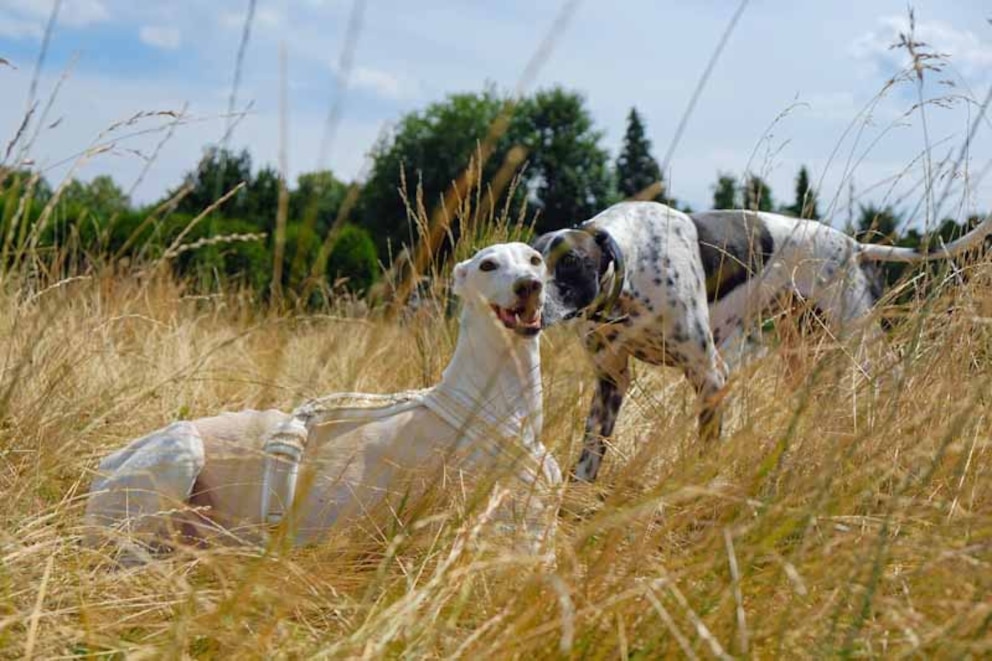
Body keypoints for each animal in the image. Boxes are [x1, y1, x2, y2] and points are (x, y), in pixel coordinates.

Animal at [81, 242, 560, 556]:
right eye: (488, 264)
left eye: (535, 259)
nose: (529, 286)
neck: (494, 401)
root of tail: (104, 465)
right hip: (180, 450)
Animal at [536, 201, 992, 480]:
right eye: (529, 257)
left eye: (571, 262)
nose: (526, 297)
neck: (635, 261)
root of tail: (855, 246)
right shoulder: (610, 382)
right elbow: (587, 462)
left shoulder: (710, 378)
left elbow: (707, 450)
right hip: (803, 356)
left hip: (865, 349)